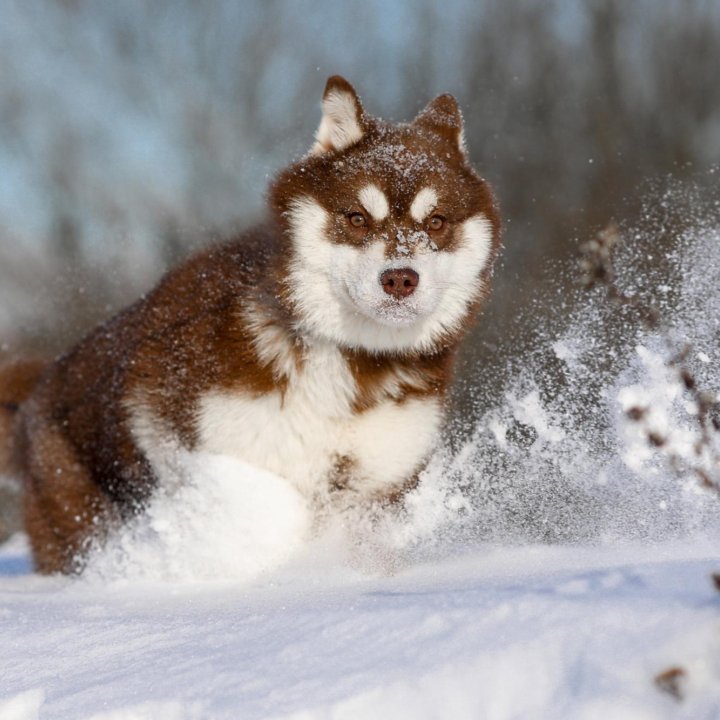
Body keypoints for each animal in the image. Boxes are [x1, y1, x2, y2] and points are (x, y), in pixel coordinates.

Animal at [0, 77, 500, 572]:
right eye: (357, 218)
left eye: (436, 222)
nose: (400, 279)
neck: (347, 356)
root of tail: (36, 389)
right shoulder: (182, 432)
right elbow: (272, 510)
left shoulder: (380, 475)